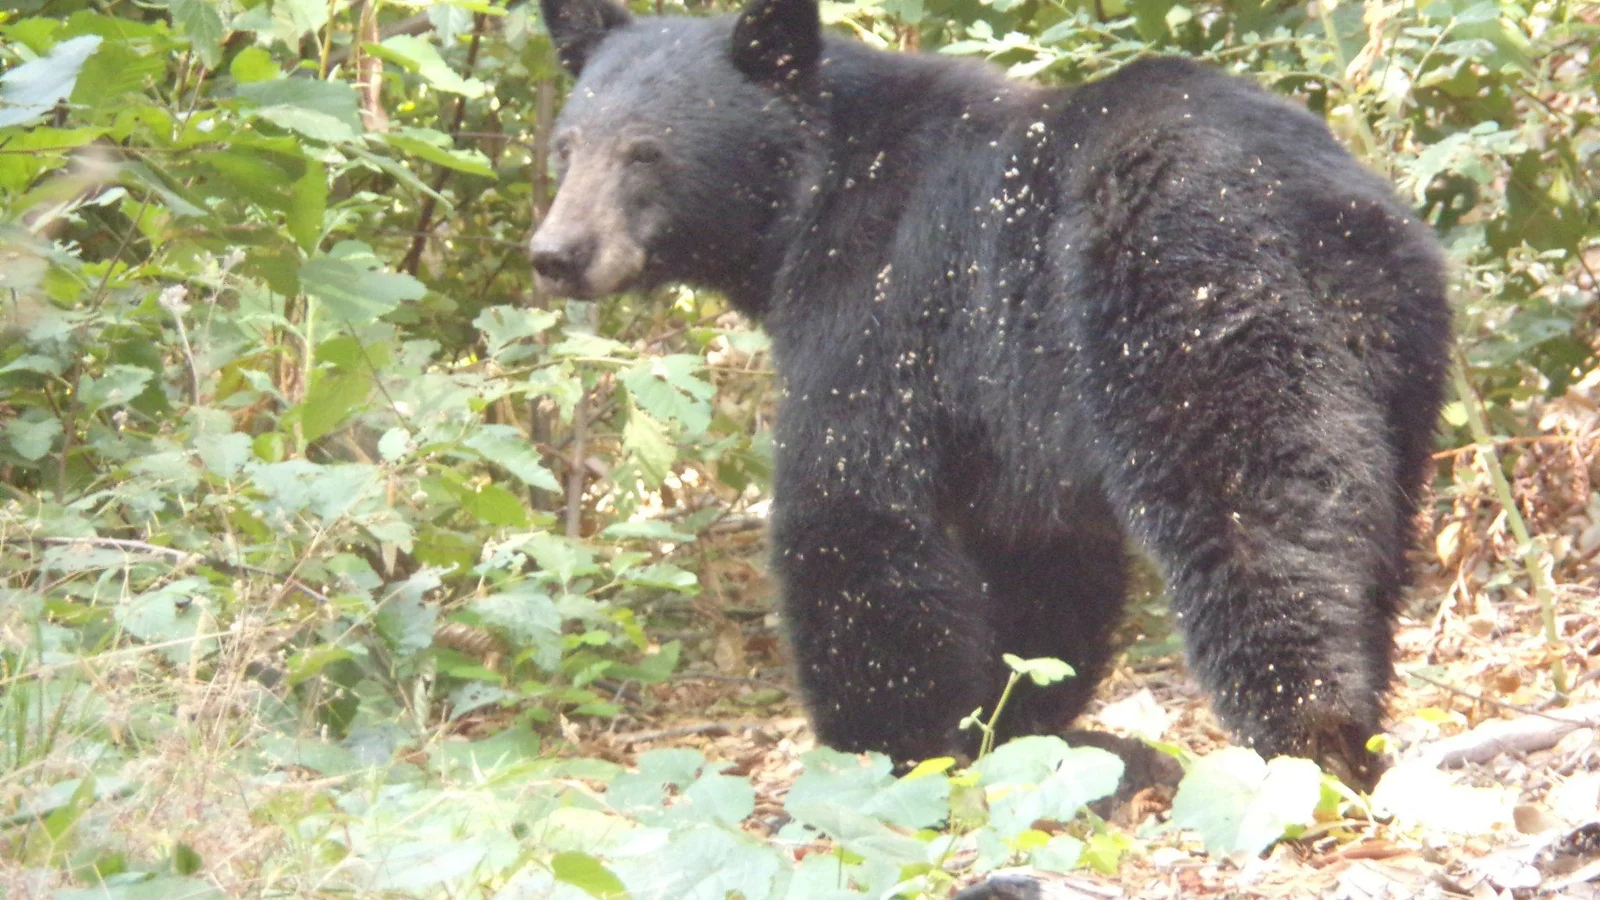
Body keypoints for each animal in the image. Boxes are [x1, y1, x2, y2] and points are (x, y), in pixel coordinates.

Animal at [530, 0, 1452, 789]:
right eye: (567, 146)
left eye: (646, 152)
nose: (556, 253)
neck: (812, 195)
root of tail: (1316, 210)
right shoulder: (1010, 418)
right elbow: (1036, 559)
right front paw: (1009, 724)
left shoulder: (879, 305)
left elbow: (853, 509)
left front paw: (886, 746)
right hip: (1396, 352)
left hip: (1193, 315)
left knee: (1262, 522)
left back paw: (1310, 737)